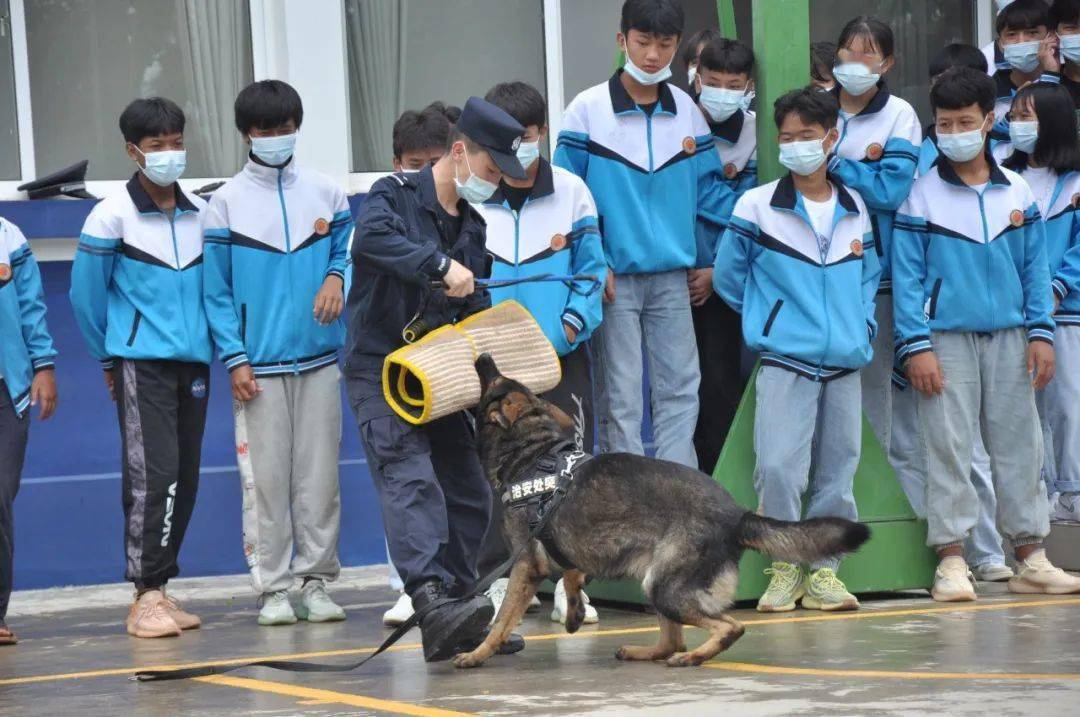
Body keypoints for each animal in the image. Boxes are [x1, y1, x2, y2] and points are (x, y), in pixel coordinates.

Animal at [451, 356, 872, 669]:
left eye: (494, 380)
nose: (483, 356)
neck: (534, 454)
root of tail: (737, 513)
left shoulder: (525, 564)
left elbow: (502, 620)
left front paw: (477, 654)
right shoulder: (573, 549)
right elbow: (572, 576)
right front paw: (573, 613)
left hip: (664, 587)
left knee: (728, 627)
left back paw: (693, 657)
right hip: (654, 581)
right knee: (672, 639)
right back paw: (645, 651)